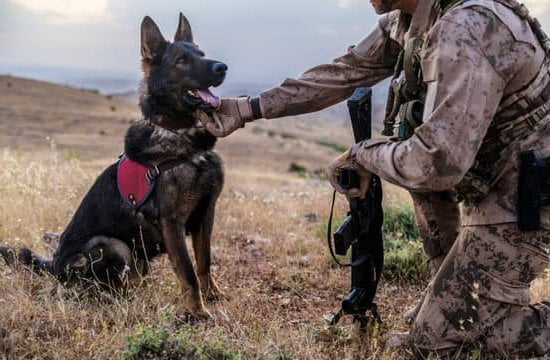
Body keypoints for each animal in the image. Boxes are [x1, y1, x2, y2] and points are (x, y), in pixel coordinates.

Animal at [0, 13, 227, 318]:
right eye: (181, 60)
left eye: (202, 54)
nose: (222, 67)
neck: (180, 135)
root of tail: (53, 267)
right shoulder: (172, 222)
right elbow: (188, 272)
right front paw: (198, 313)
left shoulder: (206, 212)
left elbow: (204, 262)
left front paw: (212, 295)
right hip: (111, 245)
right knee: (107, 285)